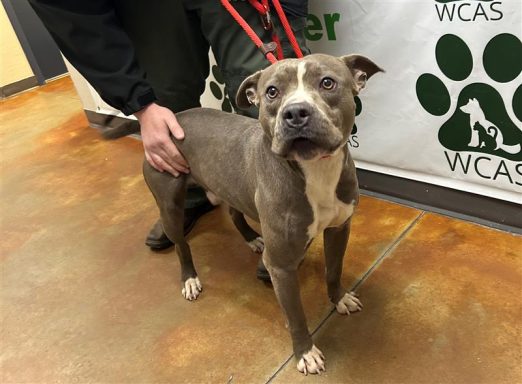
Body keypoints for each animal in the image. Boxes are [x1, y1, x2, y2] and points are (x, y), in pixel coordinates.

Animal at [143, 54, 382, 376]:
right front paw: (305, 353)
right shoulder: (281, 266)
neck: (314, 169)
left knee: (234, 212)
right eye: (271, 92)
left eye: (327, 82)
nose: (295, 113)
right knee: (182, 246)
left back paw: (253, 239)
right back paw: (190, 279)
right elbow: (296, 316)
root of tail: (175, 118)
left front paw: (340, 298)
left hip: (231, 186)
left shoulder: (339, 228)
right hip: (169, 206)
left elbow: (333, 270)